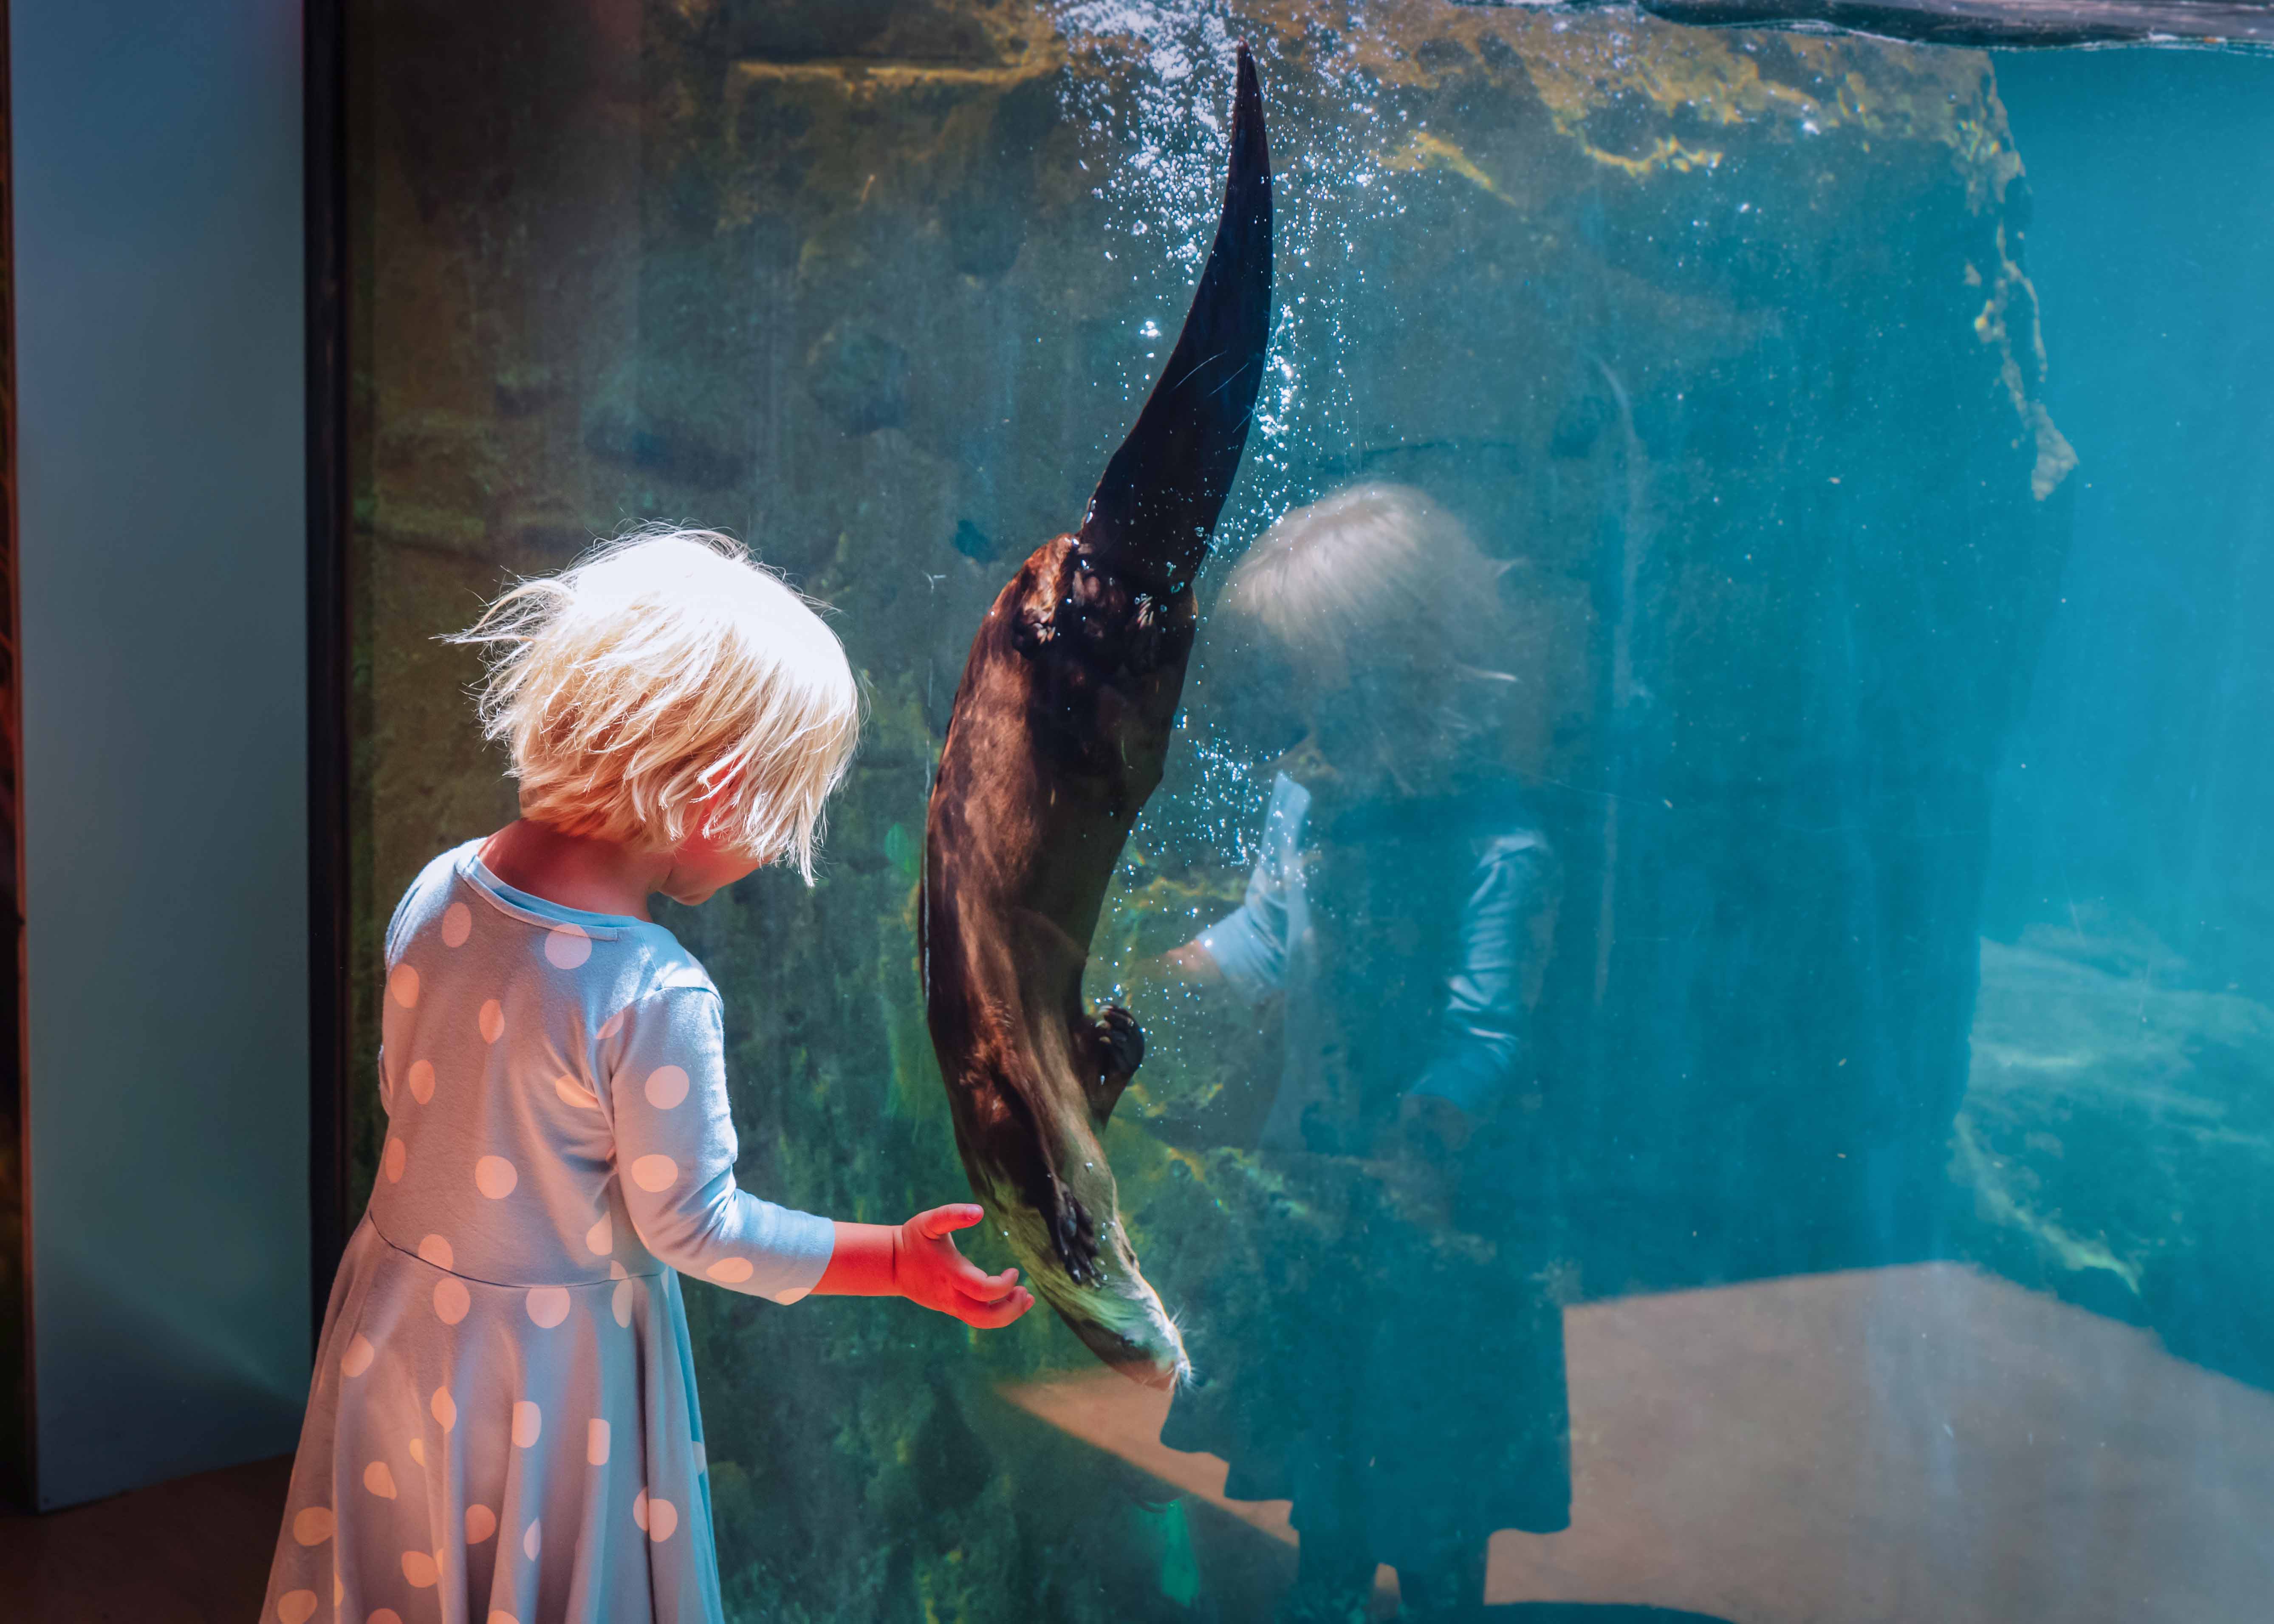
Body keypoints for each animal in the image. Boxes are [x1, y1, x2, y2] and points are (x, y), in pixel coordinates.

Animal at [921, 43, 1271, 1388]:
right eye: (1094, 1334)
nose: (1158, 1357)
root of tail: (1083, 557)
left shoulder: (1006, 1080)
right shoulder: (1014, 1077)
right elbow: (1091, 1057)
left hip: (1080, 641)